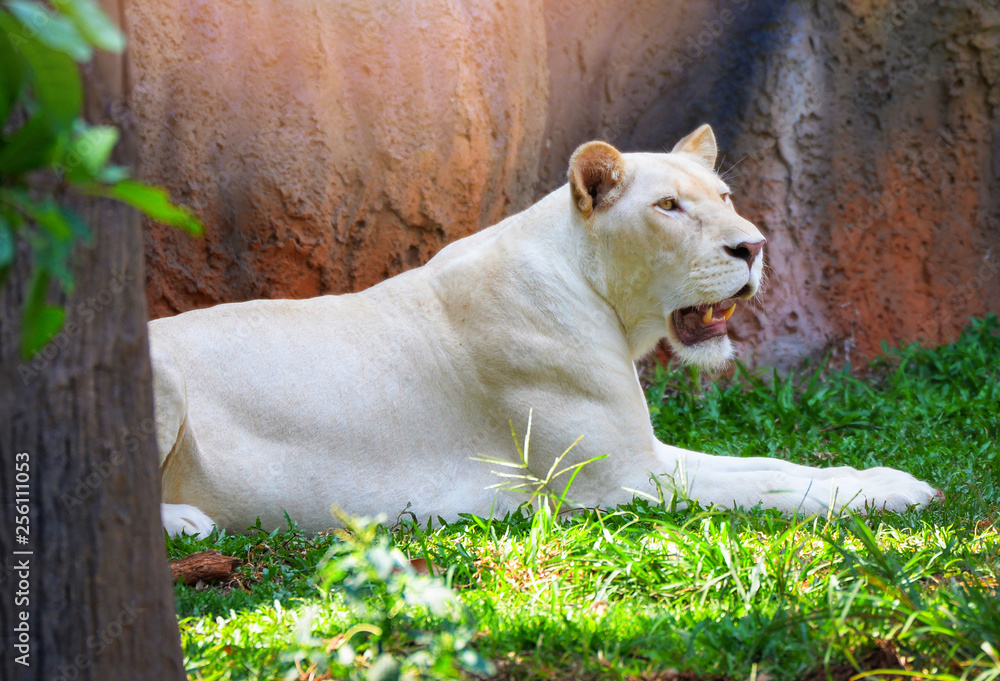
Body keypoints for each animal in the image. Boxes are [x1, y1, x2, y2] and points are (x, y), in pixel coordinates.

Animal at [152, 125, 939, 537]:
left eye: (723, 196)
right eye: (669, 207)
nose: (752, 245)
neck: (604, 298)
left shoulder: (645, 450)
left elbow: (770, 464)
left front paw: (884, 477)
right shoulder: (620, 481)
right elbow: (769, 488)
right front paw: (896, 496)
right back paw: (187, 521)